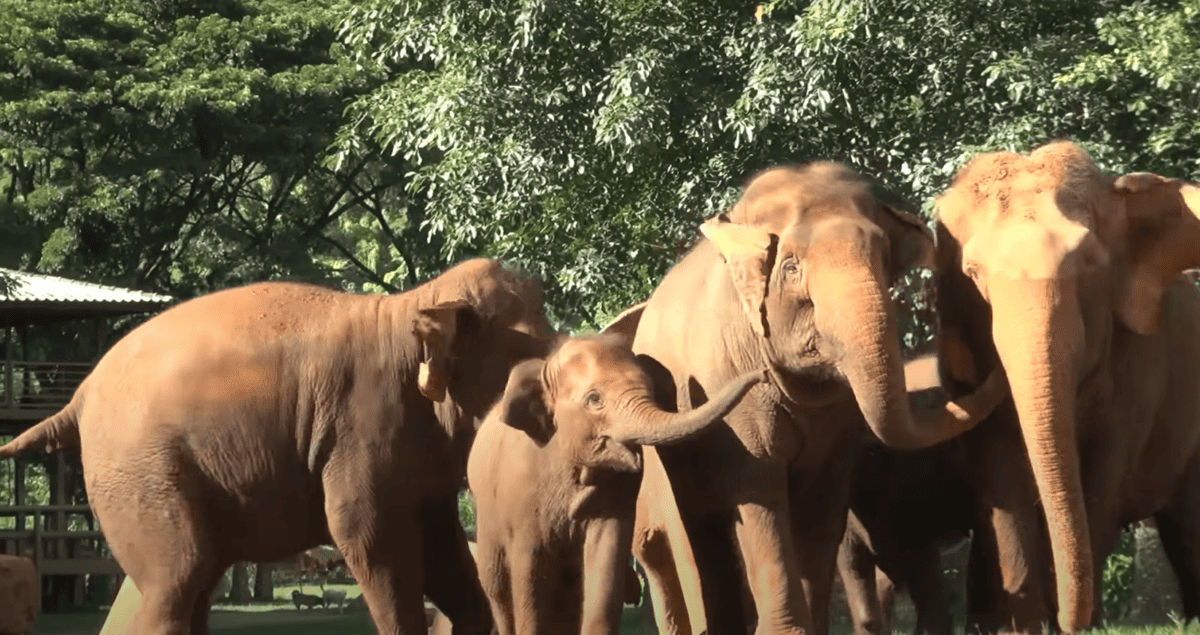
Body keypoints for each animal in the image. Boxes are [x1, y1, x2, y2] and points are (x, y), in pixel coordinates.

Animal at [0, 257, 553, 635]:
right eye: (530, 348)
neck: (414, 303)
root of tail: (80, 395)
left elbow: (443, 551)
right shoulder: (361, 424)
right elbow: (368, 536)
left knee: (194, 580)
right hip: (141, 469)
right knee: (176, 578)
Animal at [468, 331, 766, 635]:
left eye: (650, 388)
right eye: (594, 399)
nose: (764, 374)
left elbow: (606, 556)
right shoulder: (519, 494)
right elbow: (528, 571)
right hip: (486, 518)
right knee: (498, 587)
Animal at [627, 162, 1010, 635]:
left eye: (883, 259)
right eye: (791, 268)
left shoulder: (839, 422)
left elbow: (823, 503)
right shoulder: (728, 388)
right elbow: (759, 493)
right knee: (688, 542)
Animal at [932, 140, 1200, 634]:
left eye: (1089, 265)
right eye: (973, 273)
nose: (1065, 621)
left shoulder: (1138, 365)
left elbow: (1102, 482)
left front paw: (1077, 624)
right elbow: (1001, 479)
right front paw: (1025, 627)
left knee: (1188, 524)